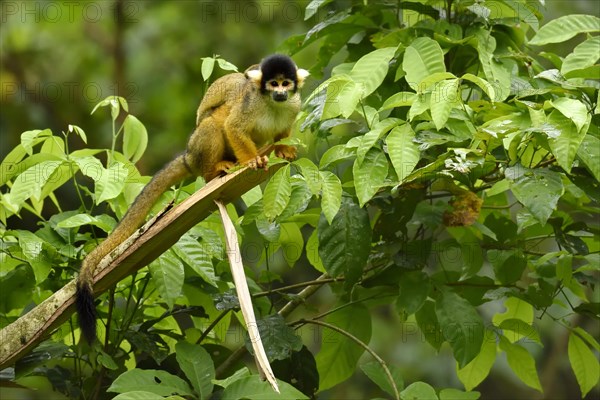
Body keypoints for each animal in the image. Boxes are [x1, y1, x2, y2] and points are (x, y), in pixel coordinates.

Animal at [75, 54, 310, 344]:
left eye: (286, 83)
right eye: (273, 83)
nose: (280, 93)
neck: (272, 104)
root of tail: (189, 156)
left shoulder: (293, 105)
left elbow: (282, 131)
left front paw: (283, 147)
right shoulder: (250, 102)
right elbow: (233, 126)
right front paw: (251, 161)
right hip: (199, 148)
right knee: (214, 123)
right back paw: (215, 170)